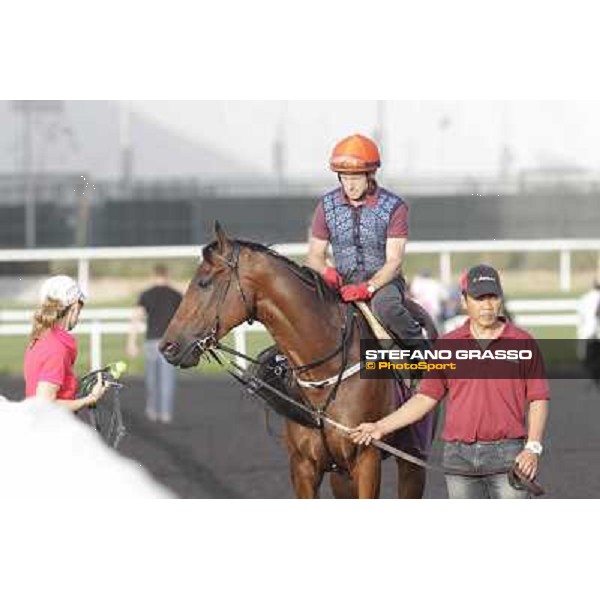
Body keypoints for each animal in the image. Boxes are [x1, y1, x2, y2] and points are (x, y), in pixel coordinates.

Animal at [162, 223, 438, 500]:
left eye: (204, 283)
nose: (168, 346)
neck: (324, 376)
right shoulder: (303, 466)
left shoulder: (366, 460)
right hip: (341, 477)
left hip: (412, 459)